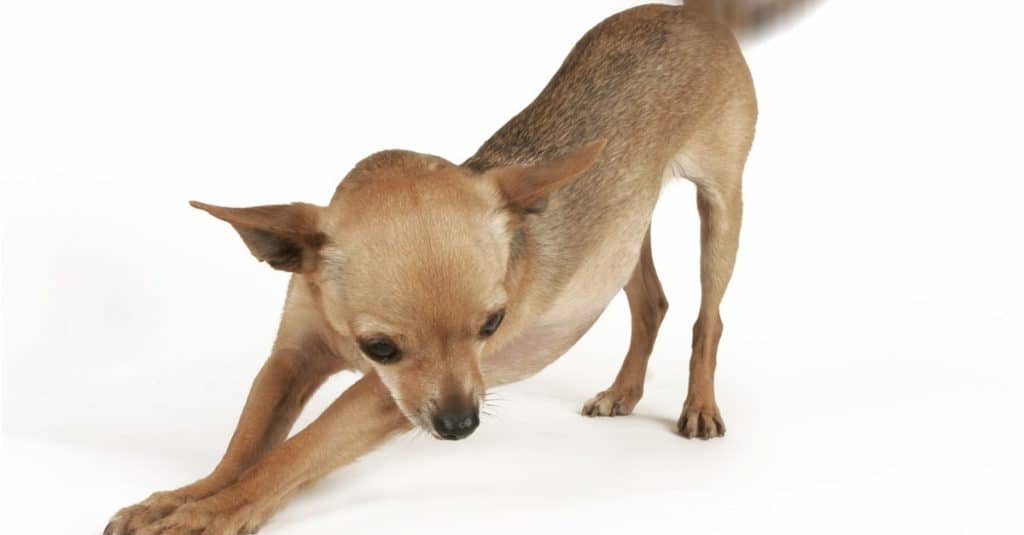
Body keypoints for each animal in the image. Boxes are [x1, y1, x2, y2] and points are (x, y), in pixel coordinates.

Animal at [105, 2, 815, 528]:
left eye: (492, 325)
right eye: (381, 347)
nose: (460, 425)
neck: (342, 342)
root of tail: (690, 12)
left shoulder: (379, 402)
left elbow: (294, 453)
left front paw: (210, 515)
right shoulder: (292, 358)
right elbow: (247, 443)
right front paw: (183, 497)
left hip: (720, 203)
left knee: (708, 317)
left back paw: (699, 406)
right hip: (625, 226)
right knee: (652, 302)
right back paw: (624, 391)